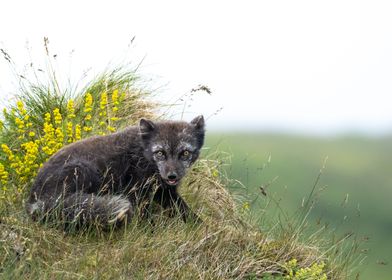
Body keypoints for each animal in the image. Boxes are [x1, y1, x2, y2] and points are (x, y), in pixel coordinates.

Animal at [26, 115, 205, 228]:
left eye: (185, 153)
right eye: (160, 153)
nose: (172, 176)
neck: (143, 154)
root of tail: (33, 200)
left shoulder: (163, 191)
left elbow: (183, 209)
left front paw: (200, 228)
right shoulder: (137, 192)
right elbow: (145, 219)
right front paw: (150, 234)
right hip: (84, 170)